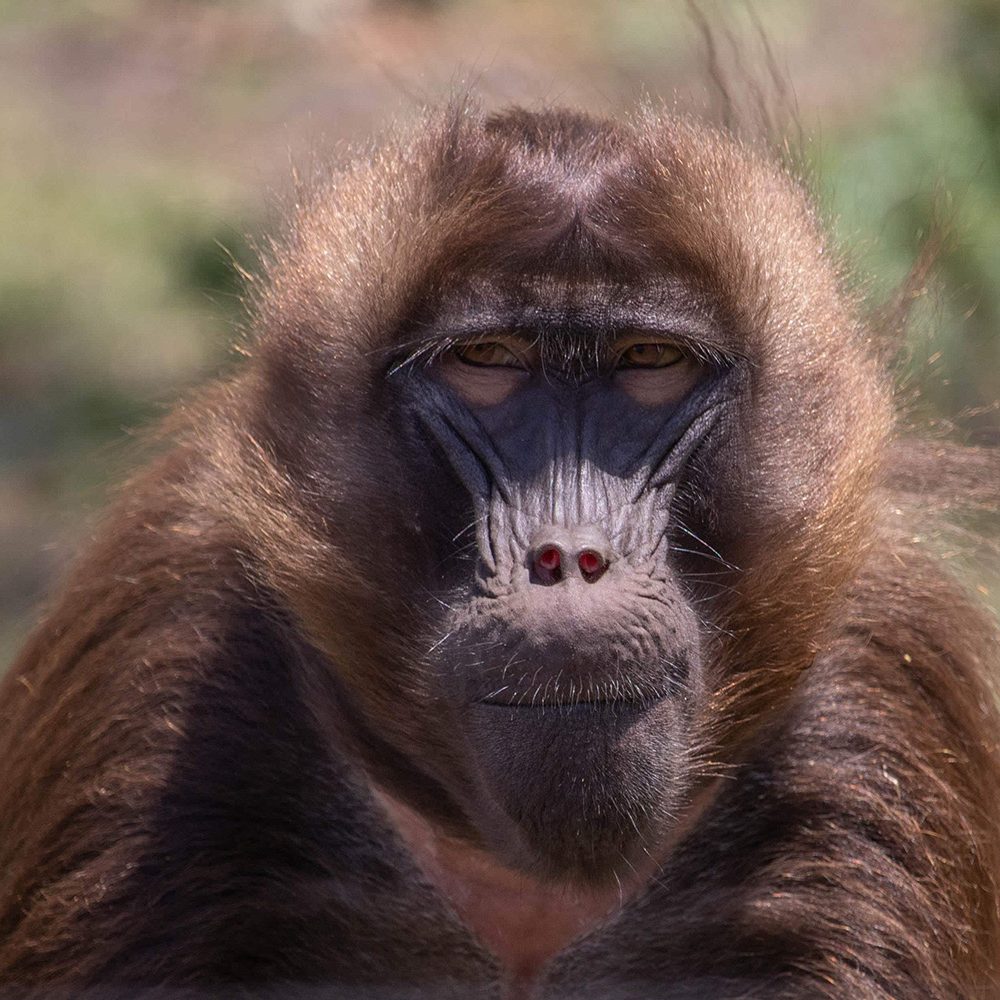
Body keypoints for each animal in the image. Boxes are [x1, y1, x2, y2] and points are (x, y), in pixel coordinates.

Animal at [1, 105, 1000, 996]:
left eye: (650, 362)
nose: (570, 555)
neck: (532, 903)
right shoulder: (163, 638)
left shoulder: (881, 697)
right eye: (486, 360)